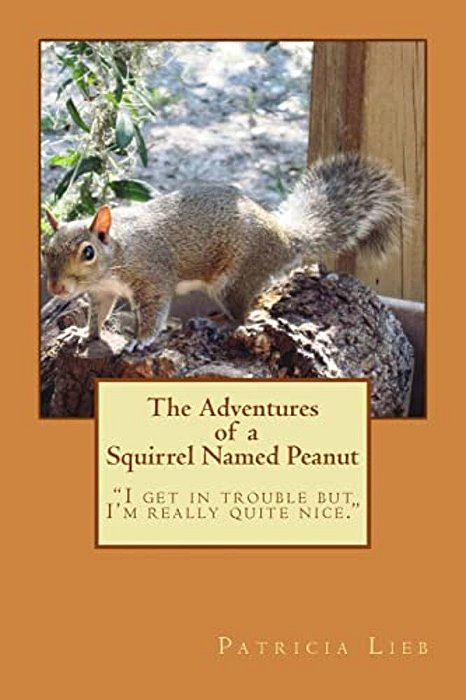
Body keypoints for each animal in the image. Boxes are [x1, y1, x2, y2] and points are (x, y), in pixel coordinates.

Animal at [43, 153, 406, 349]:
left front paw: (139, 339)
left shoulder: (152, 277)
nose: (56, 288)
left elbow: (154, 312)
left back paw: (219, 324)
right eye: (46, 251)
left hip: (233, 280)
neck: (118, 254)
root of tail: (283, 238)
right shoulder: (102, 292)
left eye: (88, 252)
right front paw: (86, 334)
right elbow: (99, 314)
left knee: (244, 317)